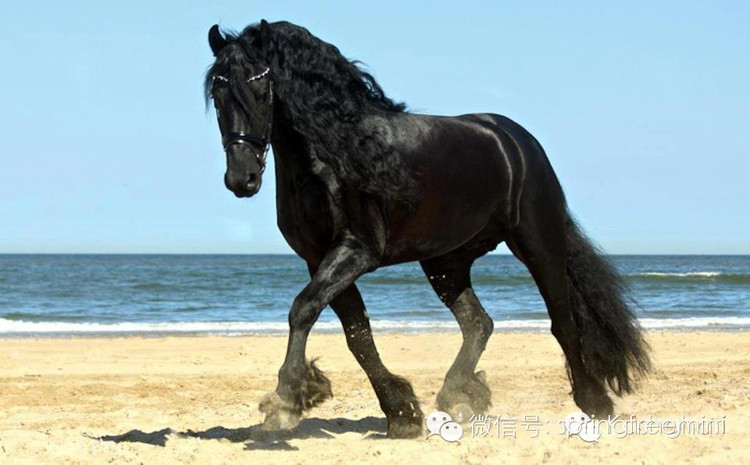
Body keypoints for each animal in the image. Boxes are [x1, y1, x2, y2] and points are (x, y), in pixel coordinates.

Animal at [204, 20, 651, 439]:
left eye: (260, 89)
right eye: (217, 95)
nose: (241, 179)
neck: (334, 155)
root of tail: (515, 140)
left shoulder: (356, 250)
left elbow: (303, 309)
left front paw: (287, 399)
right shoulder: (320, 259)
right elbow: (356, 334)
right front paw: (402, 414)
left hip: (538, 243)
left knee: (562, 320)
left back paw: (594, 403)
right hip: (446, 262)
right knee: (478, 323)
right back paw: (459, 397)